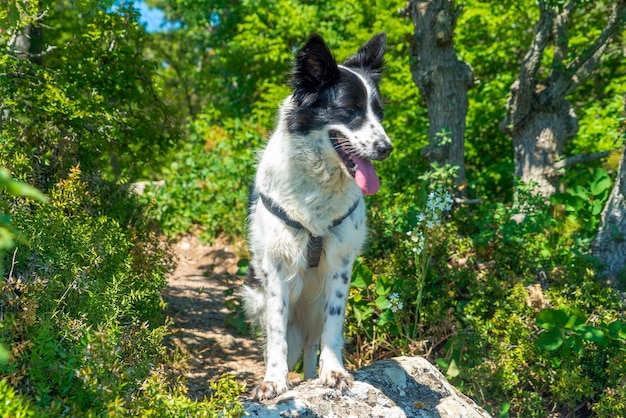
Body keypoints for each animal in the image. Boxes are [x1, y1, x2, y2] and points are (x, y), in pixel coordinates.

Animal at [243, 33, 390, 402]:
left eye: (379, 113)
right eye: (351, 111)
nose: (386, 148)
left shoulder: (341, 262)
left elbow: (333, 327)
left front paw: (333, 372)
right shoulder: (276, 265)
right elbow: (276, 332)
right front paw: (274, 380)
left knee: (313, 344)